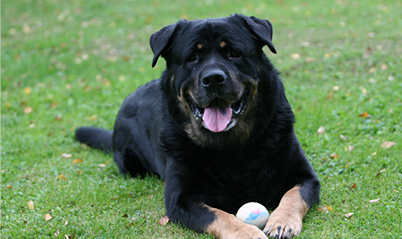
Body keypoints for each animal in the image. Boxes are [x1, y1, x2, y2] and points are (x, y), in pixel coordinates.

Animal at [75, 14, 320, 238]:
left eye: (234, 53)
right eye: (192, 58)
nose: (213, 79)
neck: (232, 147)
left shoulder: (305, 176)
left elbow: (293, 196)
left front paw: (282, 221)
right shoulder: (181, 199)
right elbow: (218, 215)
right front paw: (245, 232)